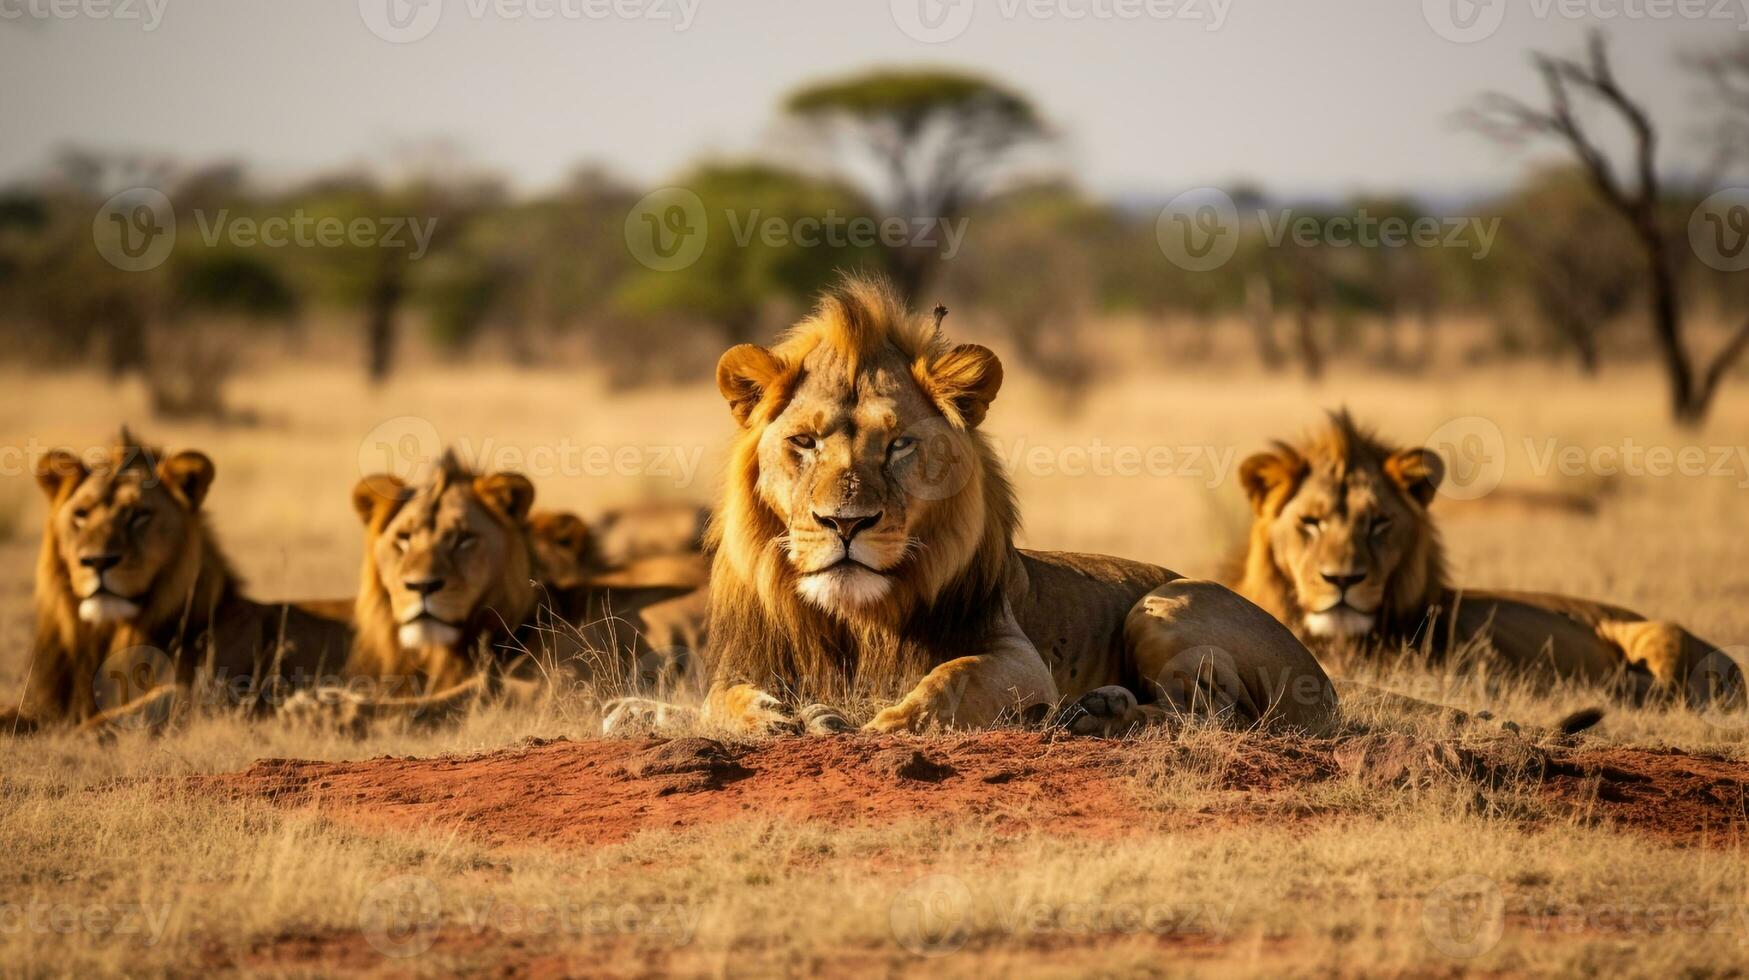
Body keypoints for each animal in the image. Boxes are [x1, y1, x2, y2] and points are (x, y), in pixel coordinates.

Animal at [2, 430, 351, 735]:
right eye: (81, 514)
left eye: (139, 515)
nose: (98, 561)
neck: (110, 634)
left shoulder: (224, 696)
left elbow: (149, 702)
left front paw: (78, 733)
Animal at [605, 278, 1336, 735]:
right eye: (804, 443)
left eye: (898, 444)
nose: (845, 524)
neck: (856, 620)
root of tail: (1322, 682)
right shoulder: (749, 661)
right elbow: (716, 700)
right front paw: (773, 717)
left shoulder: (1013, 655)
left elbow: (951, 677)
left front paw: (890, 721)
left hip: (1162, 608)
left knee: (1217, 717)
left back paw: (1098, 715)